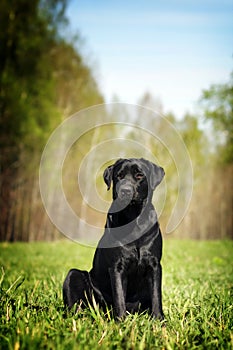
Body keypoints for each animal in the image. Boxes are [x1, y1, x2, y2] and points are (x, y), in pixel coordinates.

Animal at [62, 159, 165, 320]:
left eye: (139, 175)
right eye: (119, 176)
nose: (125, 190)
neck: (133, 218)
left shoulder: (154, 265)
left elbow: (156, 296)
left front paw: (159, 320)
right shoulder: (117, 266)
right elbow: (119, 296)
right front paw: (121, 321)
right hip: (74, 275)